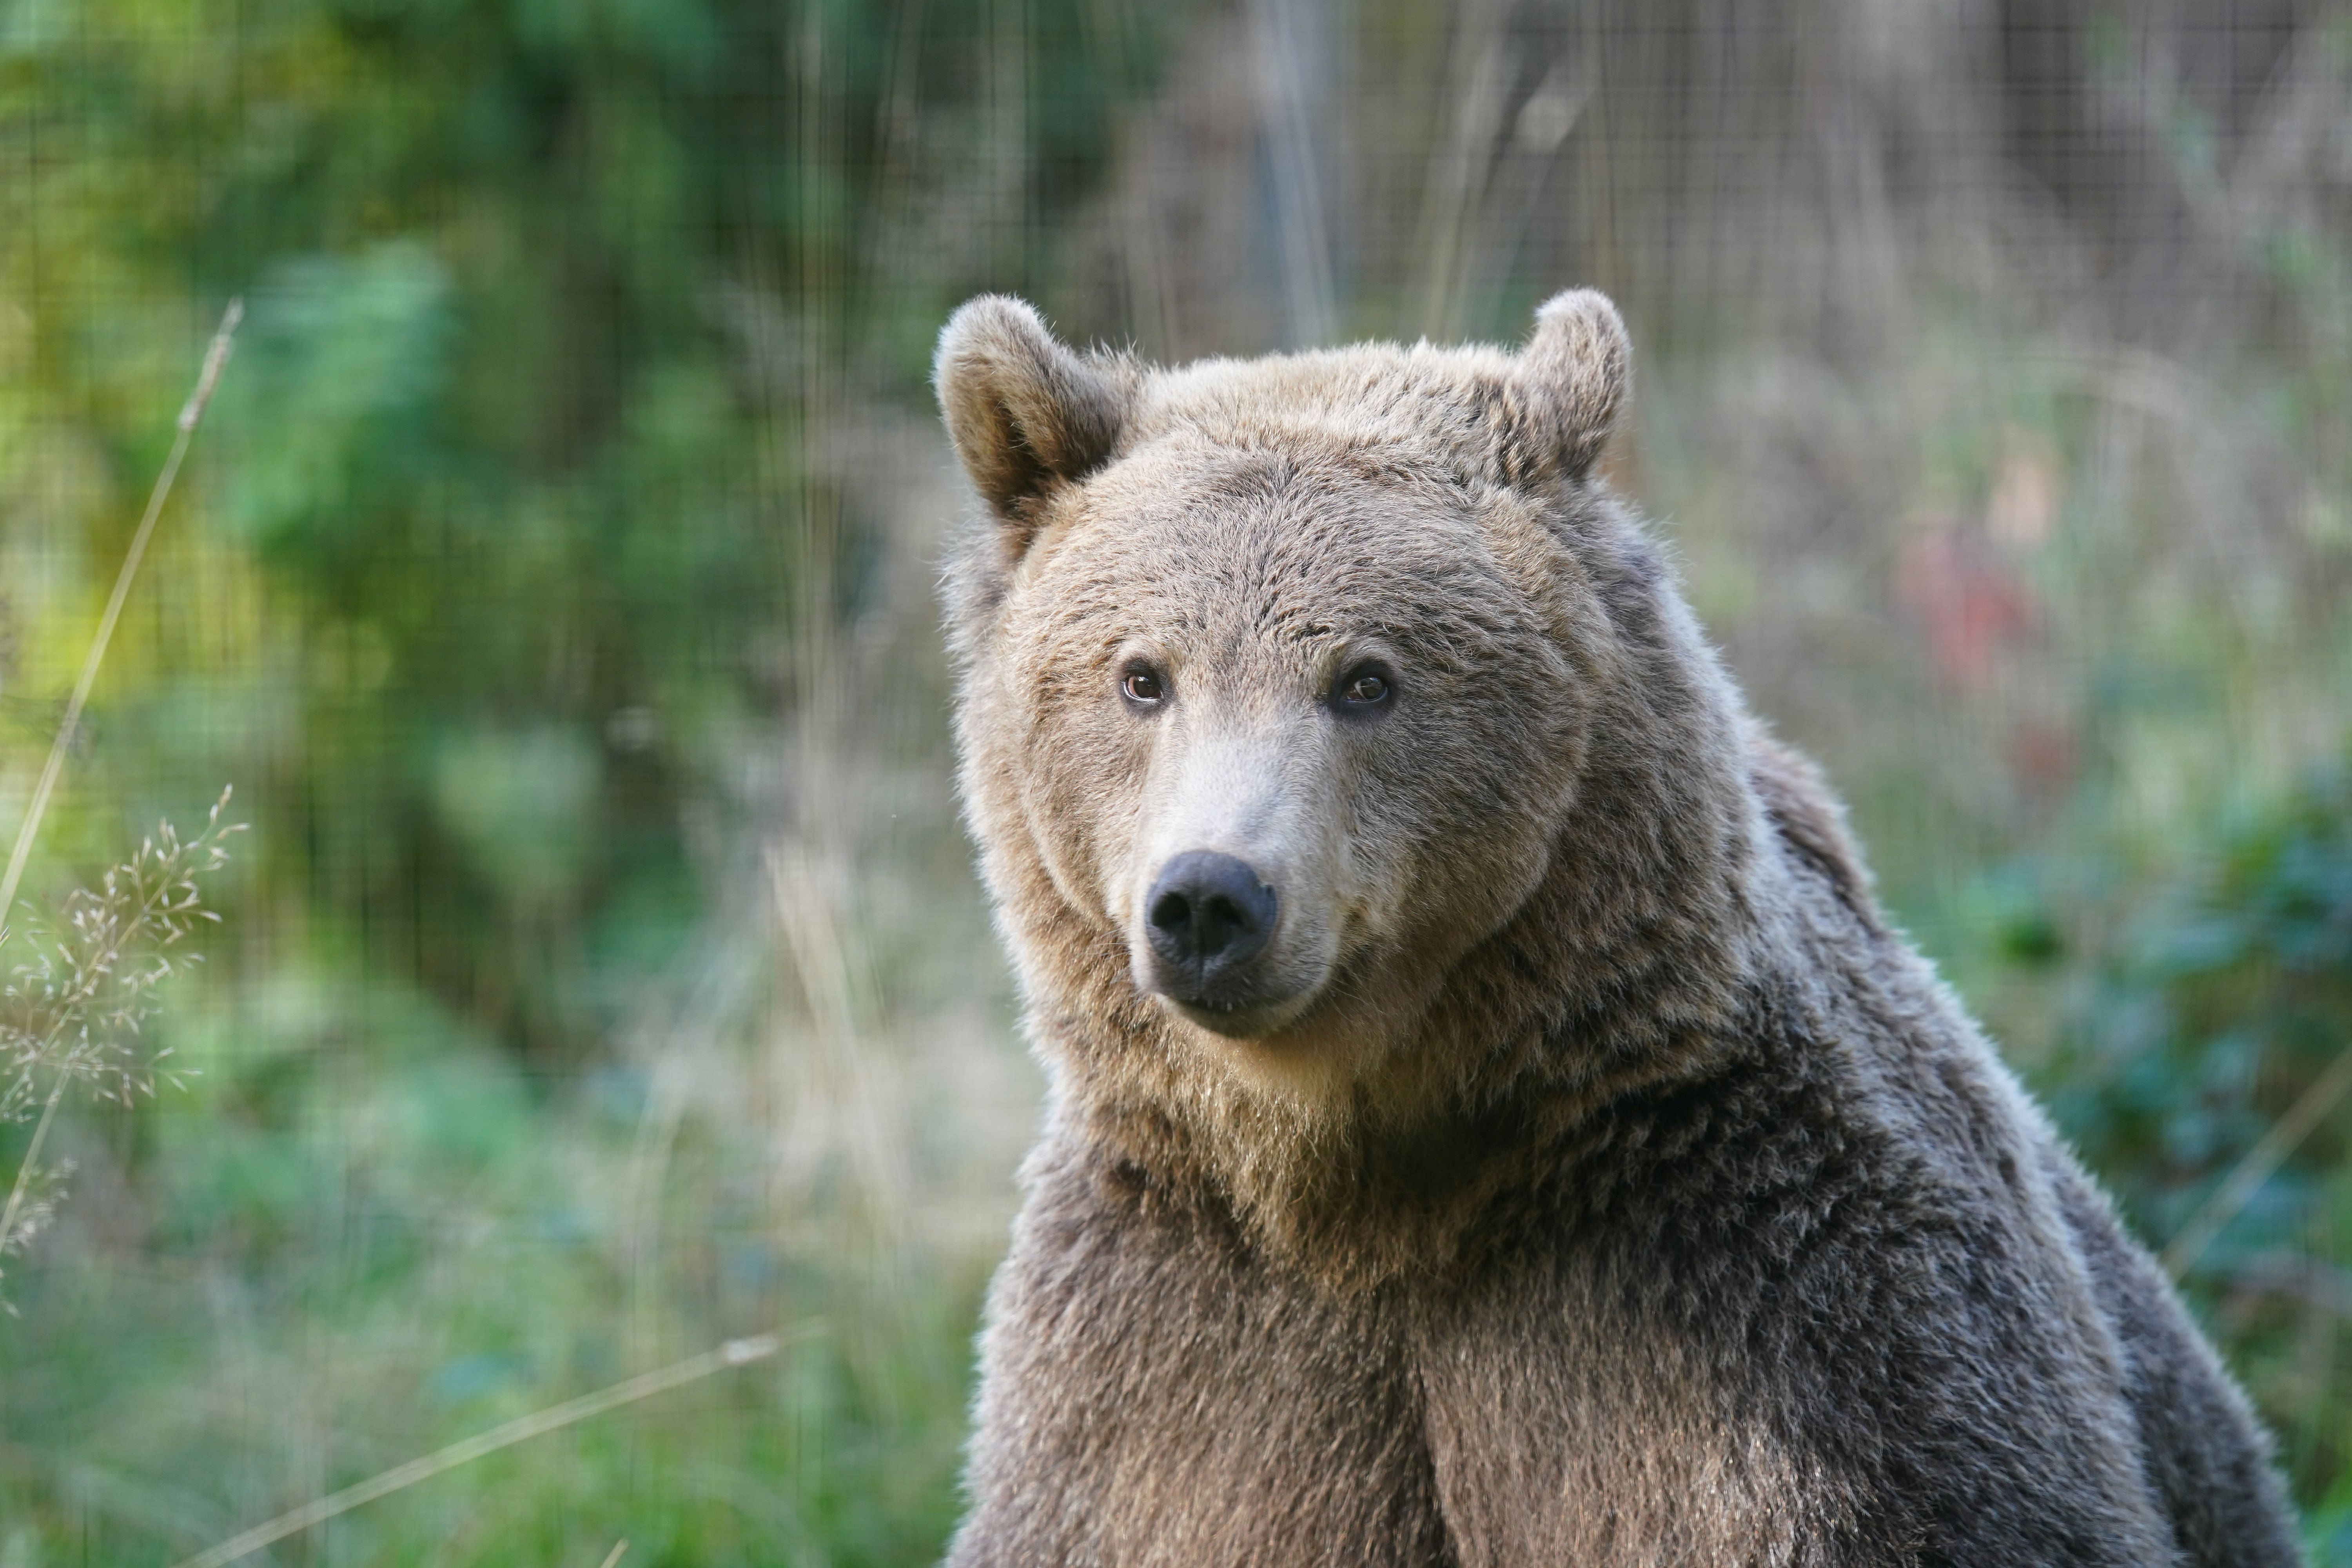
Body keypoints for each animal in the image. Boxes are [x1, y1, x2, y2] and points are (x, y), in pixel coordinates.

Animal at [922, 288, 2296, 1561]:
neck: (1363, 1187)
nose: (1211, 898)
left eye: (1365, 678)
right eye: (1140, 675)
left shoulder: (1746, 1304)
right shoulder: (1179, 1350)